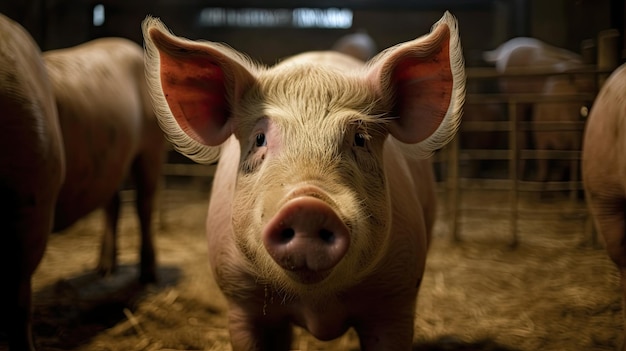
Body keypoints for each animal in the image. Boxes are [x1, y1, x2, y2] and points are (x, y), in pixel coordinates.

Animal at [141, 12, 464, 350]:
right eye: (259, 139)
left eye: (360, 139)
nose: (308, 207)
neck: (317, 303)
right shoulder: (240, 298)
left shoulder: (397, 294)